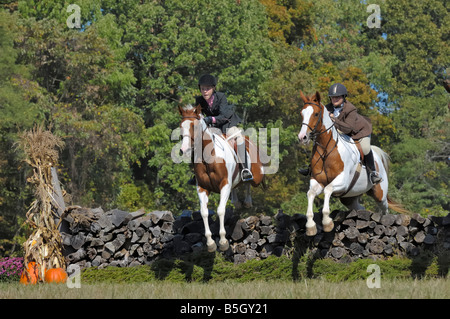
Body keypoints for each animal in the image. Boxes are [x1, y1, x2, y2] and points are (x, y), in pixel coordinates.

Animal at [178, 104, 266, 252]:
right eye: (180, 126)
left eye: (194, 126)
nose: (183, 149)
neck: (208, 157)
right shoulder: (202, 188)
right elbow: (204, 212)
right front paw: (210, 243)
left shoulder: (224, 184)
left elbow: (220, 210)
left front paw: (223, 241)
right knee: (239, 185)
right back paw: (238, 202)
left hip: (257, 176)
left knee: (253, 181)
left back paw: (248, 199)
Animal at [298, 91, 408, 236]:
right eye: (302, 113)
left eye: (316, 114)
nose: (302, 137)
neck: (326, 149)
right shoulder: (317, 181)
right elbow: (310, 193)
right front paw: (310, 226)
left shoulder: (342, 181)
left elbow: (328, 190)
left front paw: (327, 223)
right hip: (350, 197)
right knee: (360, 207)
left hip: (380, 194)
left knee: (384, 210)